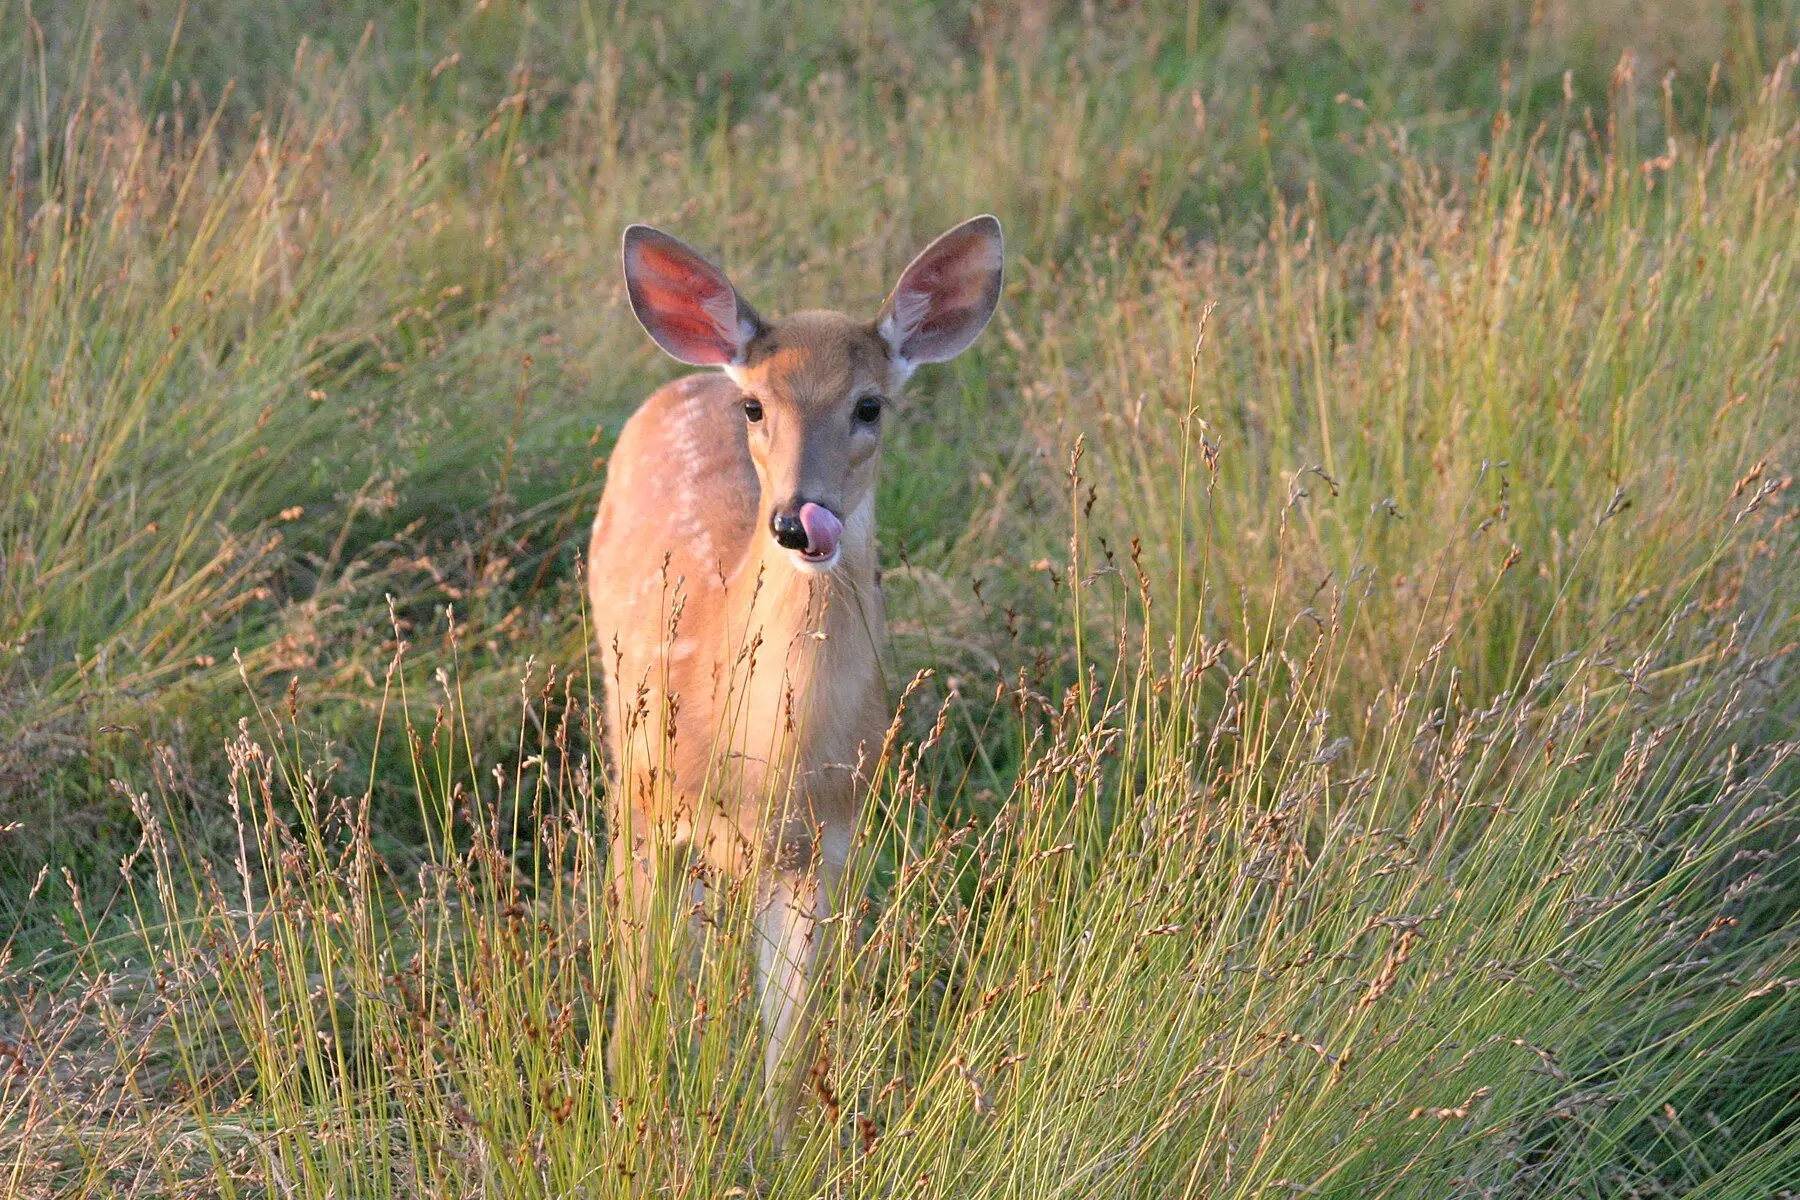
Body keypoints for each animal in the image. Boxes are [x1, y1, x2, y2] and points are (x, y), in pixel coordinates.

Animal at [587, 215, 1003, 1143]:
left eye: (870, 405)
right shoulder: (650, 801)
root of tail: (691, 377)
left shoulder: (829, 844)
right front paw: (631, 1118)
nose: (794, 521)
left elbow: (793, 1045)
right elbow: (641, 994)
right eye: (757, 407)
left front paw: (778, 1149)